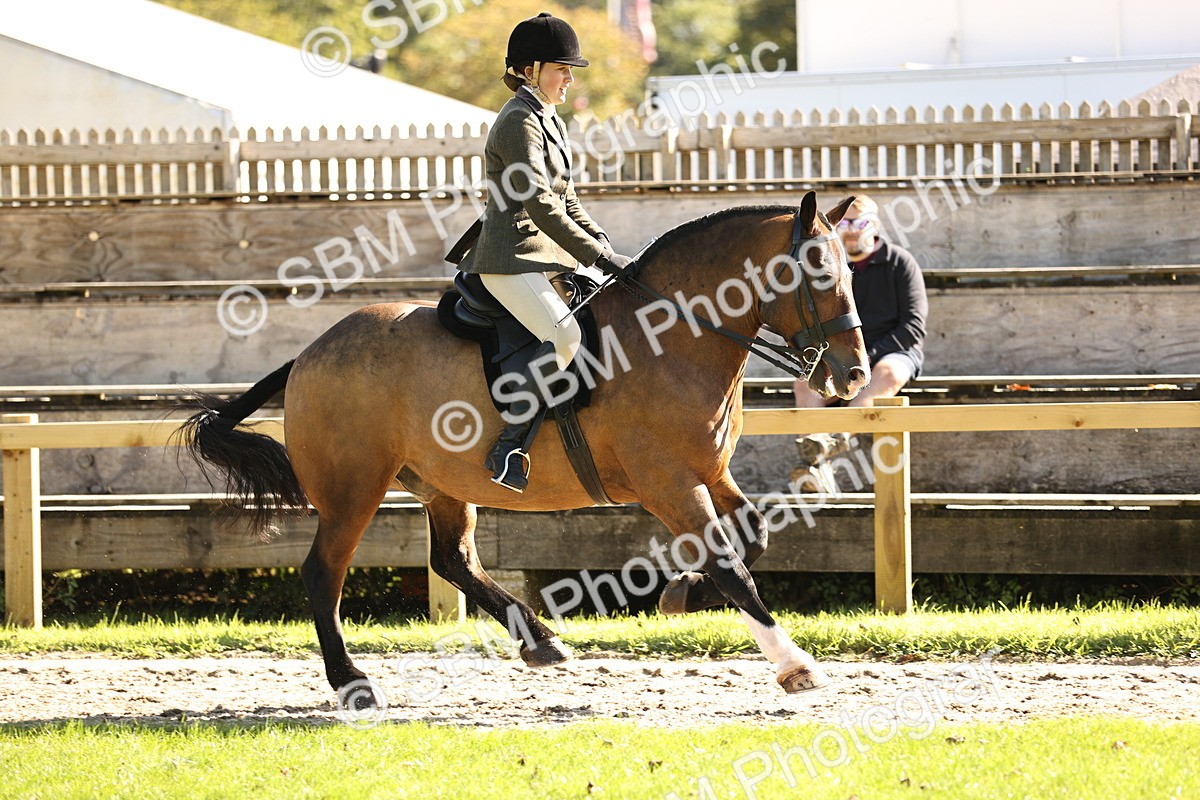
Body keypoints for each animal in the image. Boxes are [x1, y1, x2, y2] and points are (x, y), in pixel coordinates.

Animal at [178, 190, 870, 702]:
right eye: (819, 273)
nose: (854, 374)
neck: (672, 335)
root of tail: (310, 352)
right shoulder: (669, 484)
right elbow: (732, 565)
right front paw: (793, 664)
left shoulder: (710, 474)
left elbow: (754, 537)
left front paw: (684, 592)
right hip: (354, 490)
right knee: (325, 573)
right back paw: (353, 683)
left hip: (443, 485)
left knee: (454, 561)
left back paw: (540, 641)